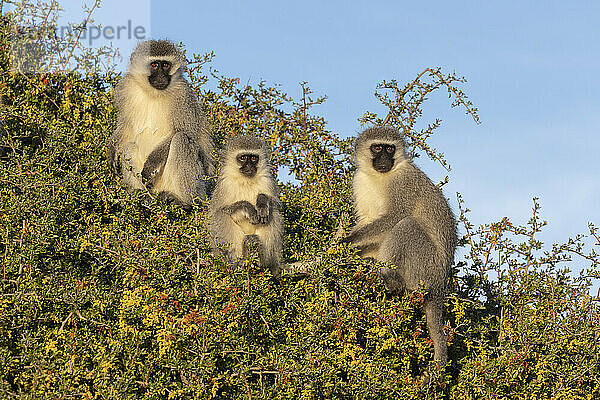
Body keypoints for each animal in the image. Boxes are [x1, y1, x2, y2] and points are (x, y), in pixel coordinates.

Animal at [109, 39, 214, 206]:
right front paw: (113, 150)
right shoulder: (126, 88)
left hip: (199, 188)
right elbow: (126, 125)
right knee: (129, 146)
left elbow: (185, 131)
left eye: (165, 65)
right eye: (154, 65)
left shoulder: (182, 96)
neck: (154, 93)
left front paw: (152, 163)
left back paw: (183, 201)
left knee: (181, 139)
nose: (161, 77)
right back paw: (141, 194)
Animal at [209, 136, 284, 276]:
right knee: (222, 217)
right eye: (243, 157)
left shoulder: (267, 181)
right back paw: (237, 264)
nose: (249, 165)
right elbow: (218, 211)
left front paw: (262, 202)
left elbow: (274, 203)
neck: (246, 181)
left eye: (254, 158)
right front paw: (247, 207)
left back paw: (264, 262)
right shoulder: (225, 186)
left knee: (273, 213)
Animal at [344, 126, 458, 366]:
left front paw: (345, 242)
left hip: (424, 268)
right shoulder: (360, 181)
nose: (385, 160)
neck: (378, 177)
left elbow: (395, 216)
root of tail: (440, 285)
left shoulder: (402, 183)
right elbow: (366, 220)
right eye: (377, 148)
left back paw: (390, 278)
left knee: (406, 224)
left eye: (390, 149)